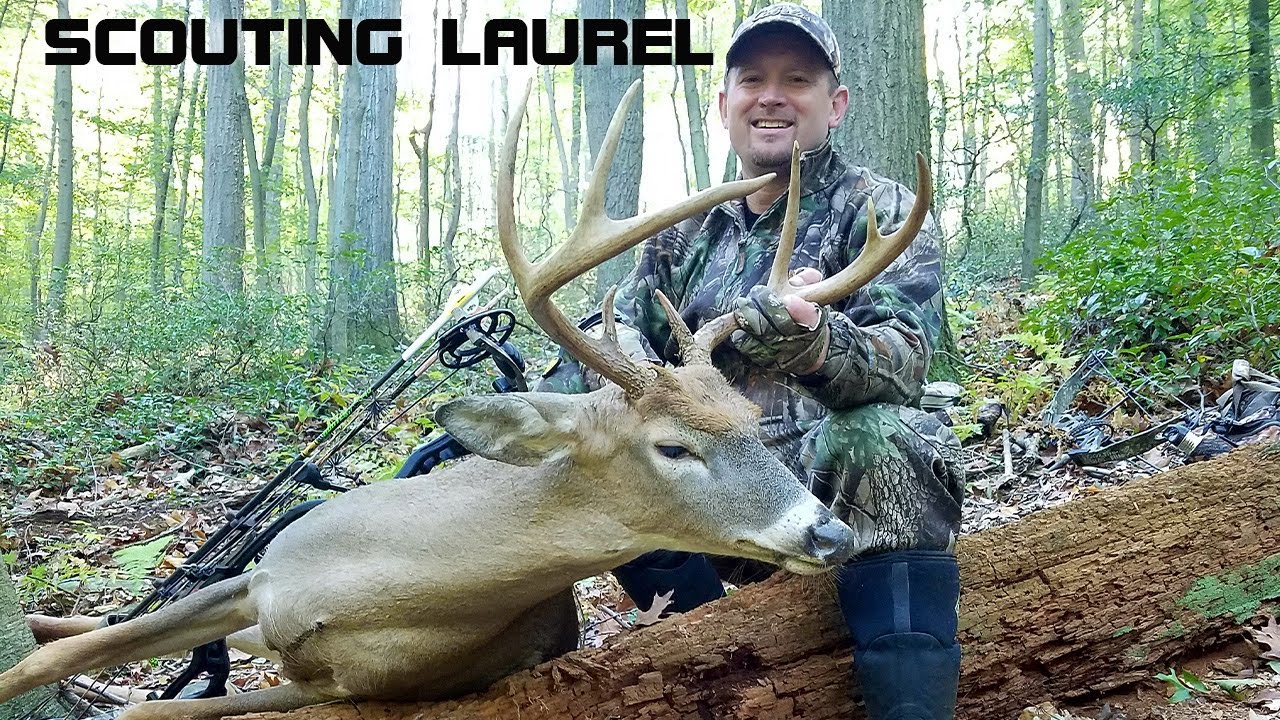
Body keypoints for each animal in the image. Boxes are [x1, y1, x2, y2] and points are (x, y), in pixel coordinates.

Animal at [0, 78, 930, 720]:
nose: (828, 532)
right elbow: (51, 665)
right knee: (74, 633)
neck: (384, 584)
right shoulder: (258, 577)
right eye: (673, 445)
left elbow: (143, 706)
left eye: (752, 424)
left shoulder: (342, 689)